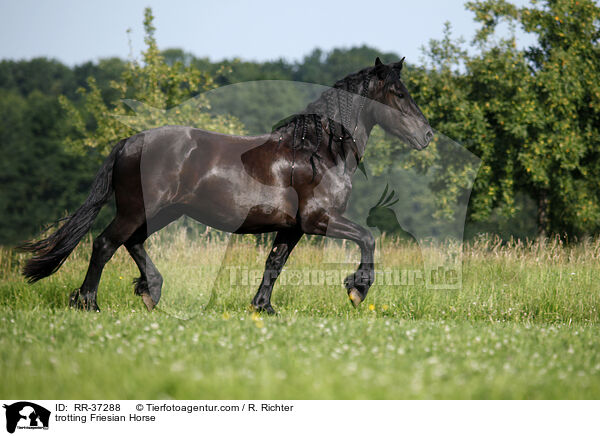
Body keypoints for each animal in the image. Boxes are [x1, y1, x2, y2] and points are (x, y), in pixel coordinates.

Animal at [22, 57, 432, 314]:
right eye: (399, 94)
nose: (426, 135)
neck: (318, 150)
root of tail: (130, 142)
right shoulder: (319, 220)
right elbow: (368, 238)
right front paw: (357, 290)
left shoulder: (293, 228)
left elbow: (274, 263)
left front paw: (263, 307)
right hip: (140, 209)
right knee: (106, 243)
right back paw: (88, 302)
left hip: (162, 211)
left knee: (132, 243)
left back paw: (151, 291)